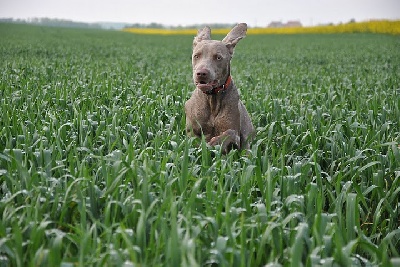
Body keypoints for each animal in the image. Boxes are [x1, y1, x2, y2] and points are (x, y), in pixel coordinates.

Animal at [184, 23, 253, 154]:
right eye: (196, 56)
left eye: (218, 57)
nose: (201, 73)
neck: (212, 98)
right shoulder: (191, 132)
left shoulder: (235, 133)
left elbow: (230, 133)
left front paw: (213, 143)